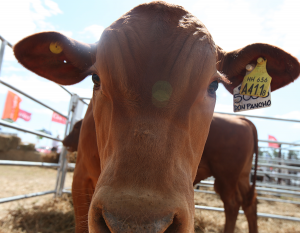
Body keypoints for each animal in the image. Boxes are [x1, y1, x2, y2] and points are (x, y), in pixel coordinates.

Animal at [12, 2, 298, 233]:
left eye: (214, 85)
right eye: (95, 78)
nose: (136, 224)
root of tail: (243, 121)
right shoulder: (80, 180)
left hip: (228, 175)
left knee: (233, 203)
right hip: (238, 175)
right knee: (249, 202)